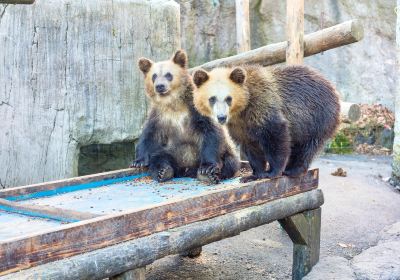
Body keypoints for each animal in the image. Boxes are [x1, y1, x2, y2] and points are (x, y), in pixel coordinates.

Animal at [130, 49, 239, 184]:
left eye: (168, 75)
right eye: (154, 76)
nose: (159, 86)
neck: (173, 102)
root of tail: (185, 169)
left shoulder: (195, 109)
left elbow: (211, 132)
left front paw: (207, 168)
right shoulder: (159, 115)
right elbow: (149, 135)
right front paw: (138, 162)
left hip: (226, 150)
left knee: (230, 162)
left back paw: (209, 174)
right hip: (171, 152)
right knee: (158, 158)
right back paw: (164, 172)